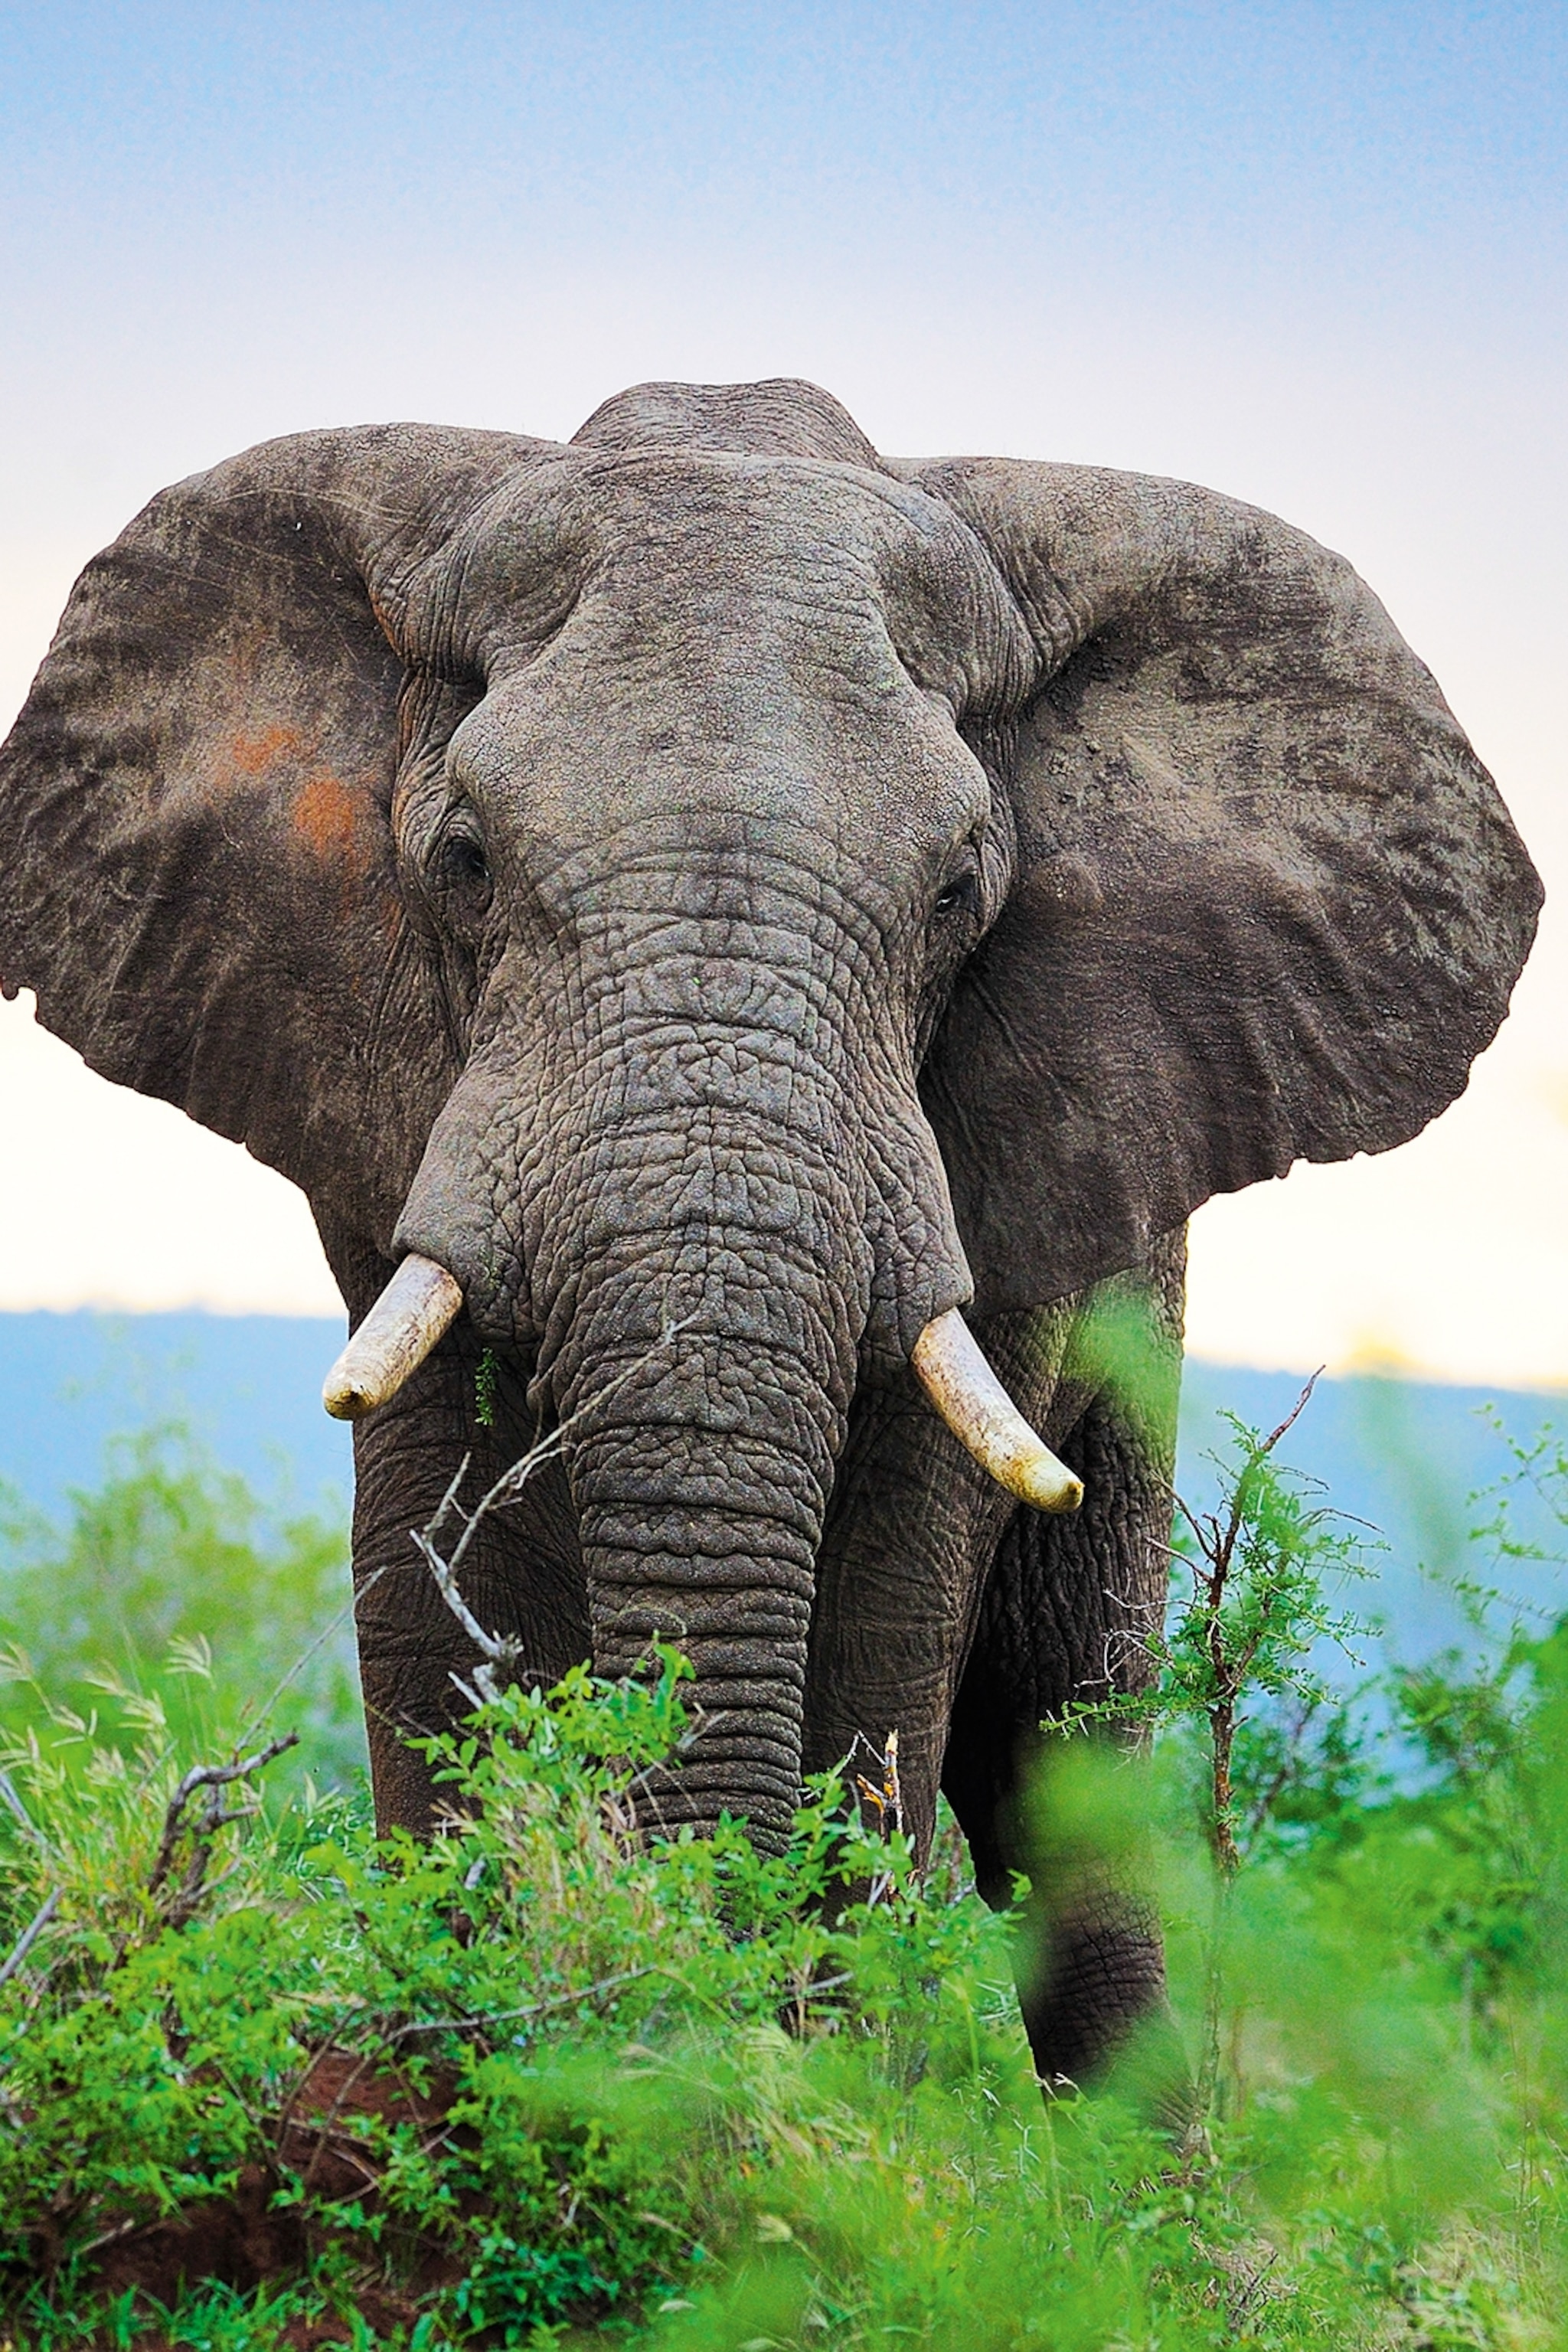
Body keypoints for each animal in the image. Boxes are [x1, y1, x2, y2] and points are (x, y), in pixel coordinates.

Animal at [0, 377, 1540, 2086]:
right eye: (460, 861)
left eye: (957, 892)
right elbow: (431, 1547)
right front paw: (470, 2057)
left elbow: (888, 1603)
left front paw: (828, 2085)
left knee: (1065, 1743)